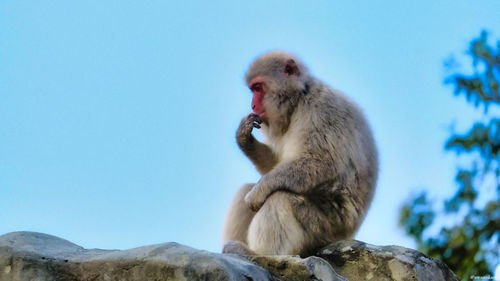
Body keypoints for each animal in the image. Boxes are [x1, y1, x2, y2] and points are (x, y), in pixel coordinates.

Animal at [221, 50, 376, 256]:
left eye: (258, 88)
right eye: (252, 89)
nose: (253, 106)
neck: (299, 99)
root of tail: (348, 234)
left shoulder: (321, 110)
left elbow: (321, 162)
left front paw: (259, 191)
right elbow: (275, 164)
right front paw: (244, 138)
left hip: (325, 226)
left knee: (279, 196)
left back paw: (259, 254)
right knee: (247, 190)